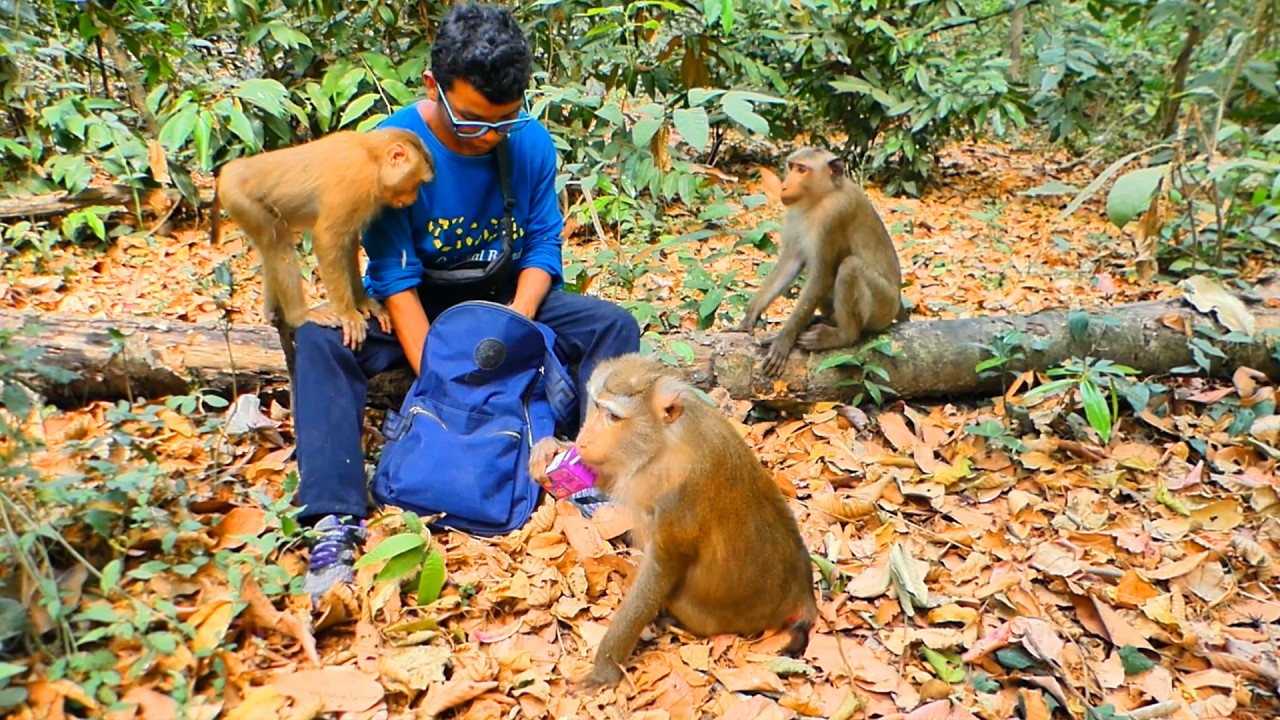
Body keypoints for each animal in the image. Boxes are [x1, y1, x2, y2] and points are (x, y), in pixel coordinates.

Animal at [210, 127, 435, 350]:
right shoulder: (358, 177)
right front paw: (348, 314)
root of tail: (228, 170)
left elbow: (348, 243)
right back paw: (299, 315)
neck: (371, 155)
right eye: (417, 183)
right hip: (240, 200)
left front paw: (362, 303)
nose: (413, 199)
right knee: (277, 243)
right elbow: (328, 238)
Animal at [530, 354, 818, 688]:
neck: (662, 442)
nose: (584, 439)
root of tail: (802, 596)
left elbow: (661, 570)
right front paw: (551, 451)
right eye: (597, 407)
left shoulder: (678, 491)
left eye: (613, 417)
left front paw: (606, 667)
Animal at [734, 147, 905, 377]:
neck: (824, 196)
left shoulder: (834, 216)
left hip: (883, 307)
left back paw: (843, 335)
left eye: (802, 170)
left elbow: (822, 276)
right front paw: (750, 317)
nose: (784, 185)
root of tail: (897, 304)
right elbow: (791, 262)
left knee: (850, 267)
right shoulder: (795, 214)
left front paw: (784, 339)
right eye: (792, 167)